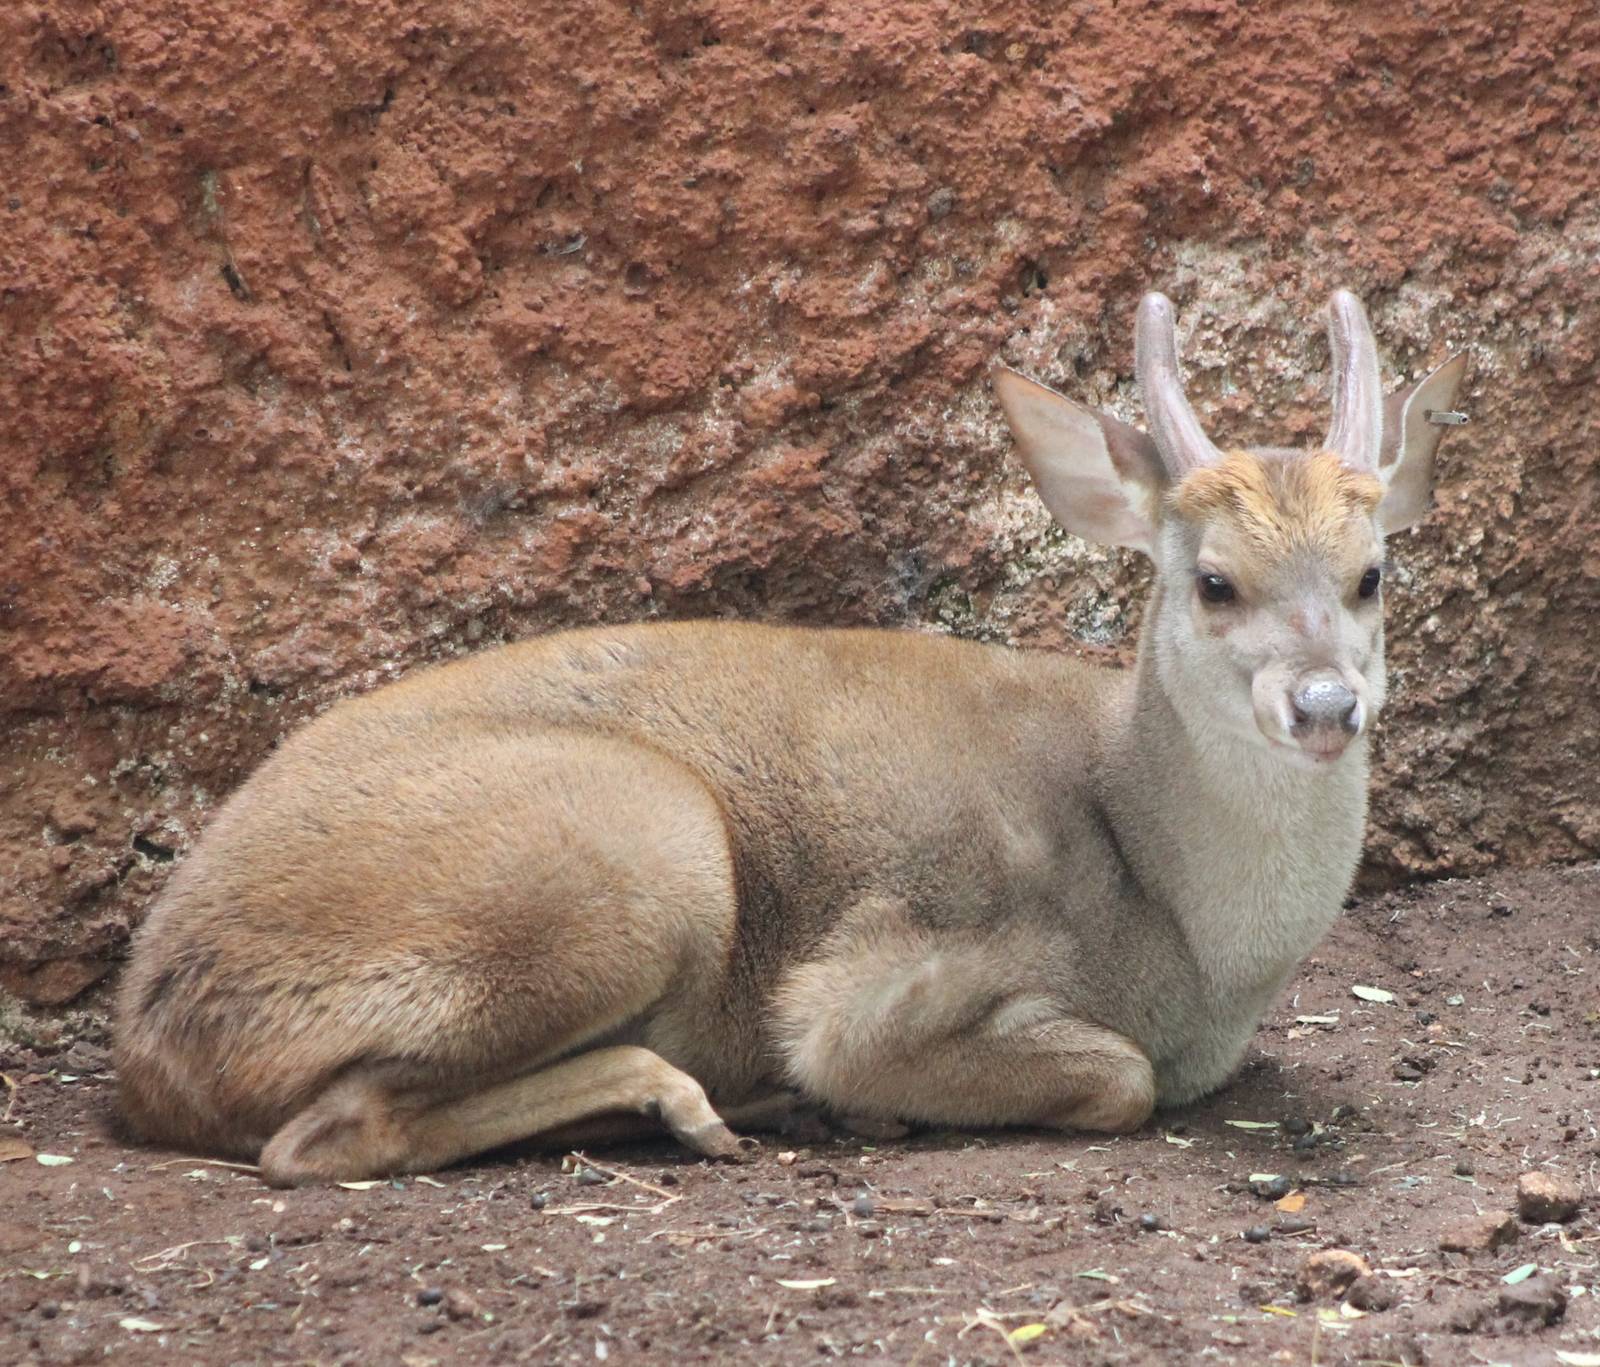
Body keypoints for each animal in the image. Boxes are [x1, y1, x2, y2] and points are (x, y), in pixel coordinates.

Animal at [114, 291, 1468, 1186]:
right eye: (1214, 580)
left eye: (1372, 573)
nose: (1323, 705)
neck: (1182, 926)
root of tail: (150, 1027)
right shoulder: (883, 982)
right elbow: (1110, 1074)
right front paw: (845, 1097)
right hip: (635, 847)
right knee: (322, 1133)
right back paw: (705, 1101)